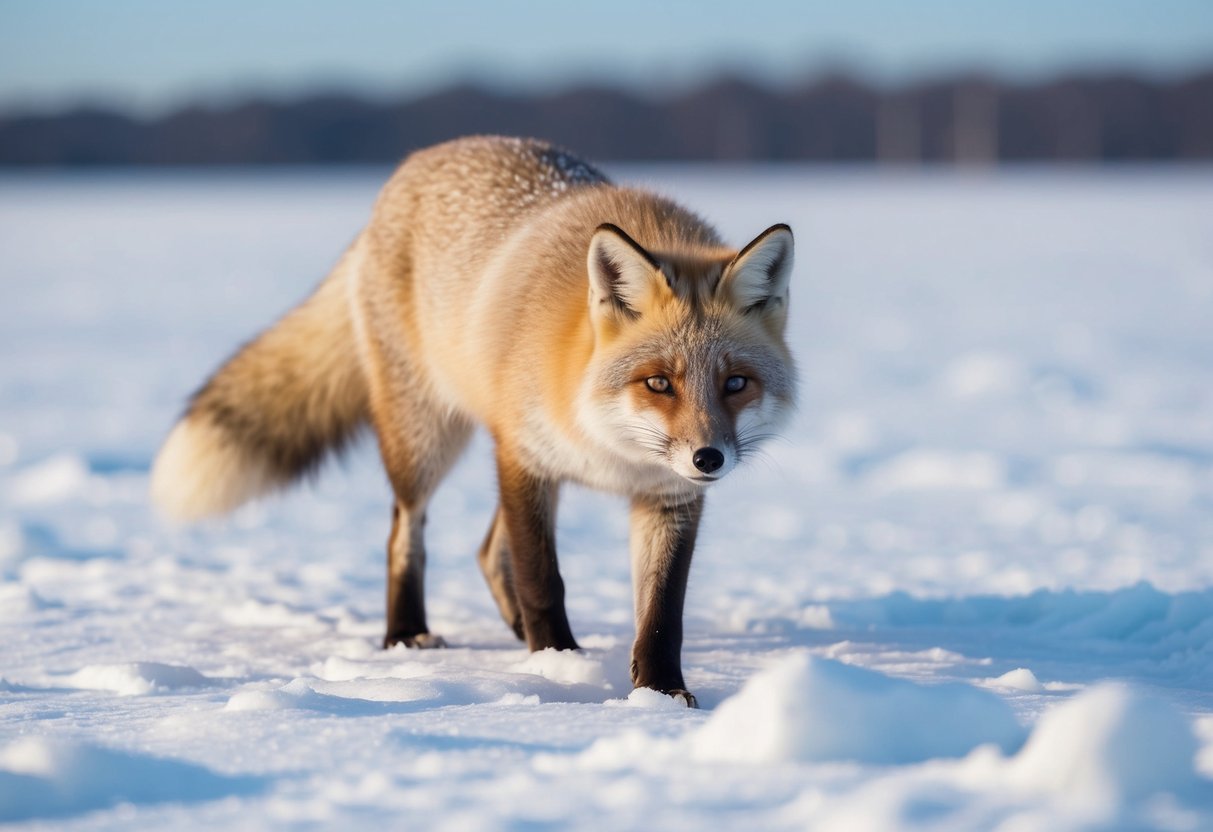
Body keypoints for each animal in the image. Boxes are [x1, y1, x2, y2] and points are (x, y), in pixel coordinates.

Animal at [151, 135, 796, 707]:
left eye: (735, 383)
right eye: (659, 382)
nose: (708, 457)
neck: (610, 447)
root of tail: (418, 163)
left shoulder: (667, 497)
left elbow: (662, 612)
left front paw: (659, 694)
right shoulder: (521, 457)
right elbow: (543, 580)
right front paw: (558, 666)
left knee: (487, 551)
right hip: (426, 440)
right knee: (405, 533)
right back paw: (408, 634)